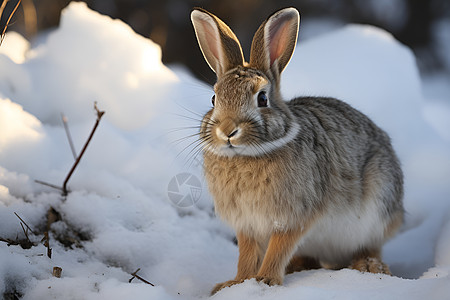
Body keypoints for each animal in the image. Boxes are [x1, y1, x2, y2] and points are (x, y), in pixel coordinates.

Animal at [190, 7, 404, 296]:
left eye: (262, 98)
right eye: (214, 99)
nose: (227, 131)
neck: (247, 155)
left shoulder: (295, 215)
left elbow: (279, 247)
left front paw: (266, 280)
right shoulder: (246, 223)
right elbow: (246, 254)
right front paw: (235, 283)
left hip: (380, 200)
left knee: (371, 244)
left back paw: (370, 266)